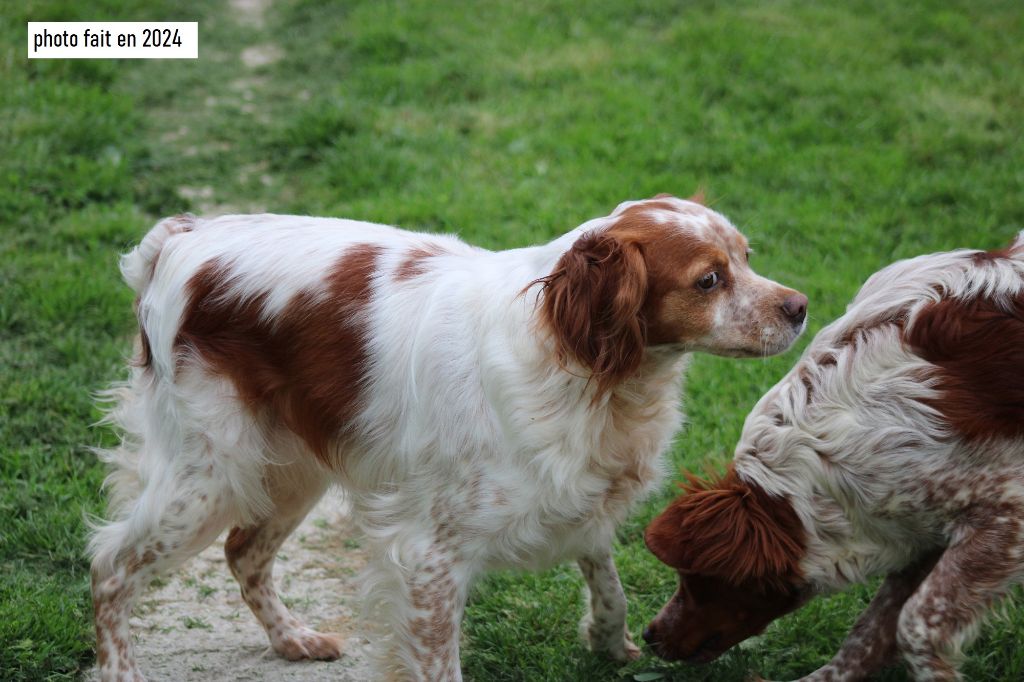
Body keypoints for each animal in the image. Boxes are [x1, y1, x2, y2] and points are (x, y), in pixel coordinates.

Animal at [88, 193, 806, 675]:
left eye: (747, 257)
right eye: (708, 280)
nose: (800, 307)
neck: (584, 369)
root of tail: (182, 238)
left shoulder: (577, 494)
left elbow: (608, 580)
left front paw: (610, 643)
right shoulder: (429, 556)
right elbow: (441, 659)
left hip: (290, 469)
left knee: (243, 552)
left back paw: (293, 639)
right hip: (208, 474)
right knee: (111, 565)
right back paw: (122, 668)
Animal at [643, 231, 1024, 675]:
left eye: (693, 579)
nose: (650, 636)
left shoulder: (1005, 511)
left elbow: (915, 623)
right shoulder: (924, 524)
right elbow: (873, 627)